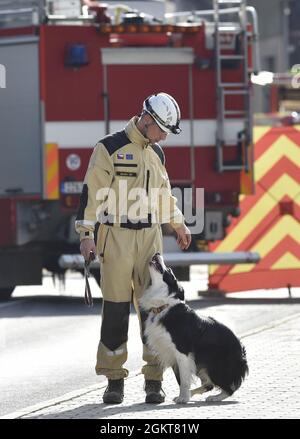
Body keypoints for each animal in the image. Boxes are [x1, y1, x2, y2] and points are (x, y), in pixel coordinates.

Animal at [139, 253, 248, 404]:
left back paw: (214, 397)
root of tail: (241, 349)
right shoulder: (173, 354)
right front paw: (184, 396)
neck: (164, 307)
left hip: (215, 364)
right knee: (209, 384)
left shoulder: (182, 351)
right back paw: (195, 393)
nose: (157, 253)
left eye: (169, 271)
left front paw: (183, 398)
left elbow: (184, 380)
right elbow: (181, 379)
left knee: (229, 389)